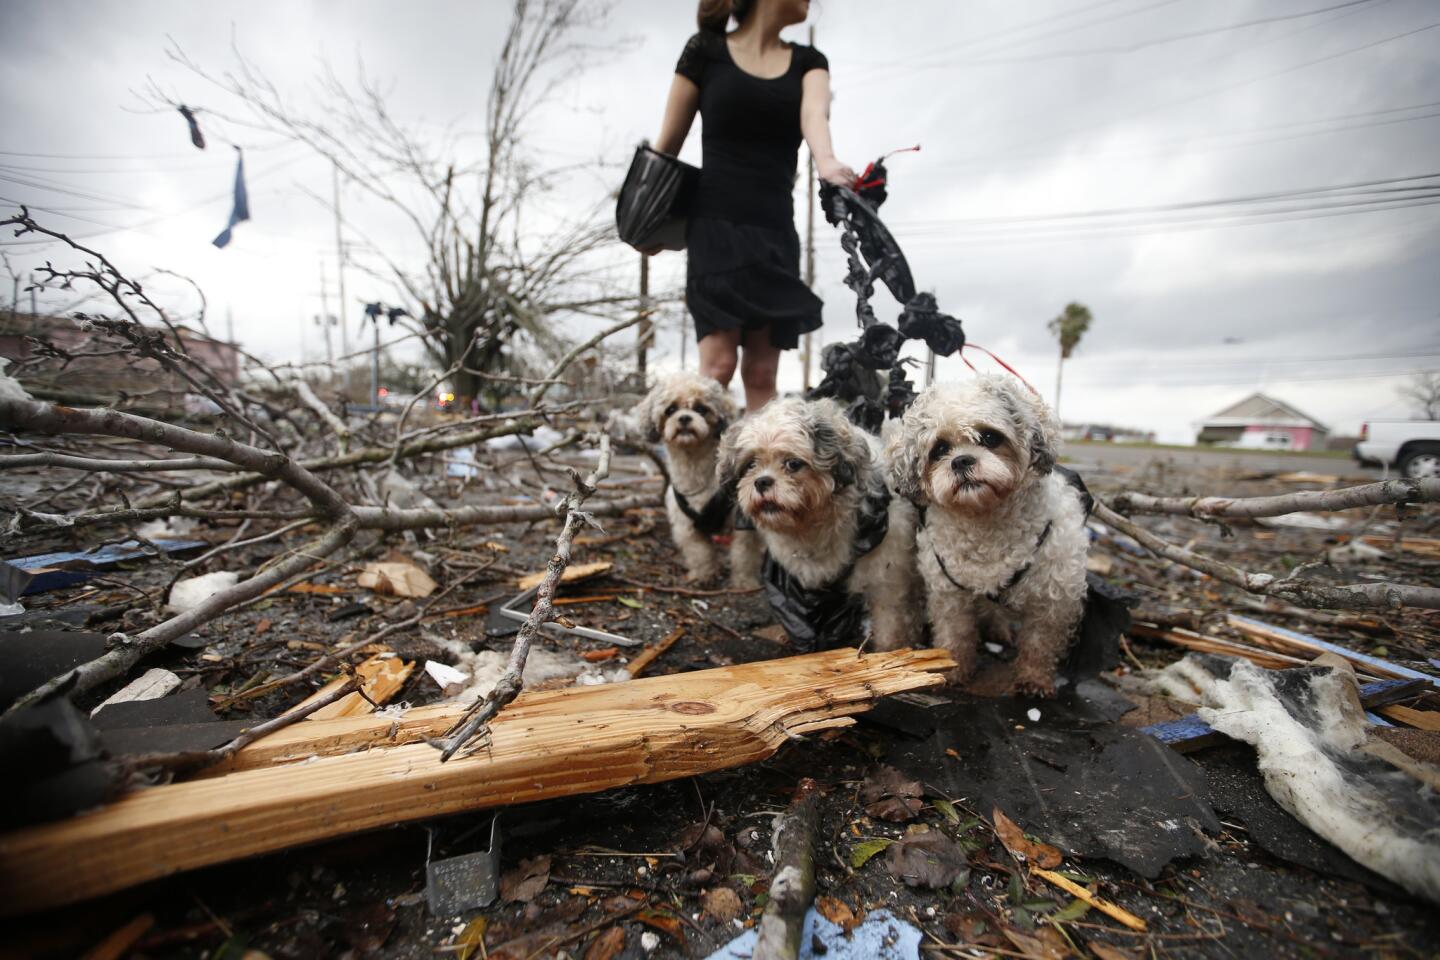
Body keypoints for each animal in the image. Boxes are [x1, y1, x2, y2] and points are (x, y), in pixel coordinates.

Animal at [636, 374, 760, 587]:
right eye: (671, 410)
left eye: (701, 409)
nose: (684, 417)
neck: (694, 469)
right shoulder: (687, 527)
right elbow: (699, 553)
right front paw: (704, 575)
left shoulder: (743, 525)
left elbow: (744, 556)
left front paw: (744, 582)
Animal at [720, 397, 921, 653]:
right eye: (751, 464)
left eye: (793, 464)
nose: (762, 481)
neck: (812, 526)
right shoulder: (801, 583)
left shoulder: (887, 575)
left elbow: (890, 624)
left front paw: (889, 653)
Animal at [881, 374, 1082, 699]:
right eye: (940, 449)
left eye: (990, 437)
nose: (961, 461)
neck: (986, 523)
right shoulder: (949, 594)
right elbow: (956, 634)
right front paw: (954, 669)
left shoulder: (1053, 599)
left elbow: (1039, 643)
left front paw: (1034, 680)